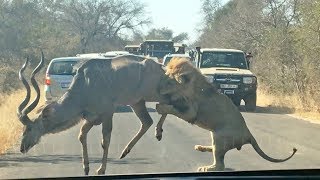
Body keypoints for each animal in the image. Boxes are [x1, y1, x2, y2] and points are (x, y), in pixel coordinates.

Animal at [16, 51, 169, 174]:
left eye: (29, 128)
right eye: (22, 128)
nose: (22, 148)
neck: (85, 84)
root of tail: (160, 67)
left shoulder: (107, 114)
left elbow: (105, 141)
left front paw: (101, 169)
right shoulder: (91, 118)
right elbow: (81, 135)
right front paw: (86, 168)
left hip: (152, 95)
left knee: (168, 104)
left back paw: (159, 132)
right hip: (136, 103)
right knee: (148, 121)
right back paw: (126, 151)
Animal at [156, 57, 296, 172]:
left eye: (169, 81)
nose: (158, 89)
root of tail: (248, 134)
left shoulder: (191, 112)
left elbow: (171, 110)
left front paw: (160, 107)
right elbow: (168, 111)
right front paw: (158, 129)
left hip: (220, 137)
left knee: (220, 165)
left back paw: (206, 167)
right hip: (215, 136)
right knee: (216, 153)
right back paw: (201, 148)